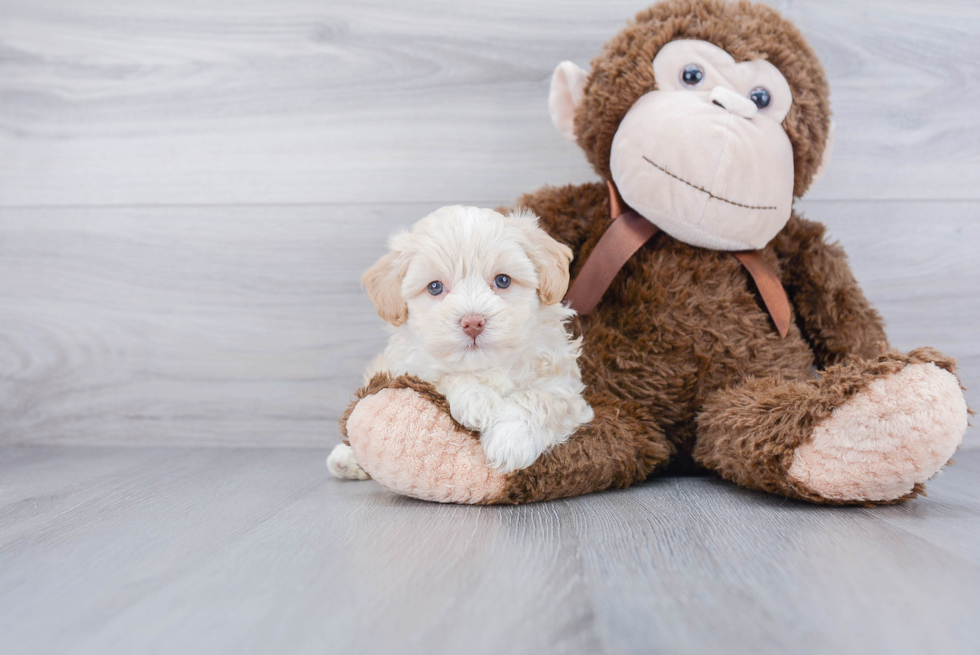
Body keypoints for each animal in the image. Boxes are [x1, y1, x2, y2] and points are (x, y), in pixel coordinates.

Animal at [330, 202, 592, 480]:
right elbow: (444, 377)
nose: (473, 322)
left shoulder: (565, 389)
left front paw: (511, 440)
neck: (487, 366)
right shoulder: (411, 367)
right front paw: (477, 400)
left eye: (503, 280)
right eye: (434, 287)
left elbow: (539, 400)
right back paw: (346, 458)